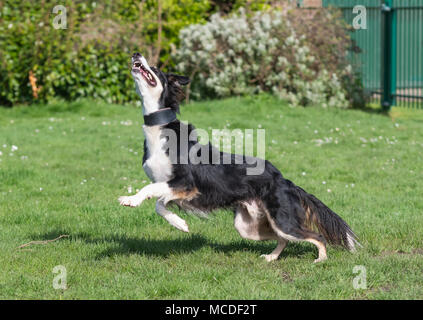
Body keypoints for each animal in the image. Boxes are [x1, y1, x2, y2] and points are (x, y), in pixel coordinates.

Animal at [119, 52, 362, 262]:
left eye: (155, 69)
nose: (135, 54)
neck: (160, 130)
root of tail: (284, 180)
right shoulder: (175, 189)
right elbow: (159, 205)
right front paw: (180, 224)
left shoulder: (185, 184)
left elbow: (150, 191)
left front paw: (131, 199)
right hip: (247, 226)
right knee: (282, 239)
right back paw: (271, 257)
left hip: (282, 220)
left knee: (315, 236)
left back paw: (320, 260)